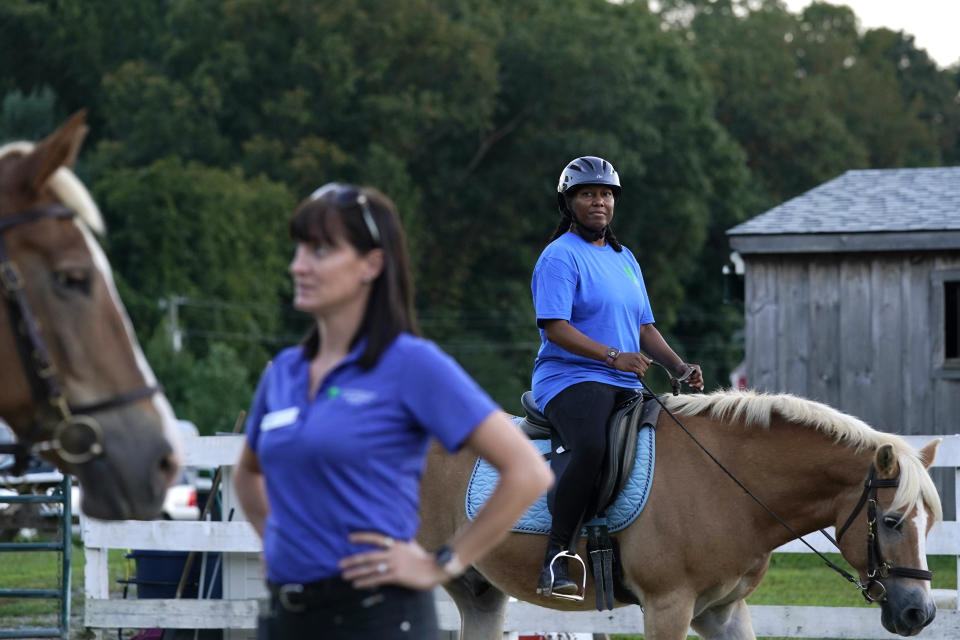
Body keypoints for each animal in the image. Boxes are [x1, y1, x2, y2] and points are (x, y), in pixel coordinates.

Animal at [422, 390, 944, 640]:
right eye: (893, 522)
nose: (919, 613)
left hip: (480, 594)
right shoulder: (668, 607)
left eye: (930, 524)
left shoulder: (721, 611)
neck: (726, 480)